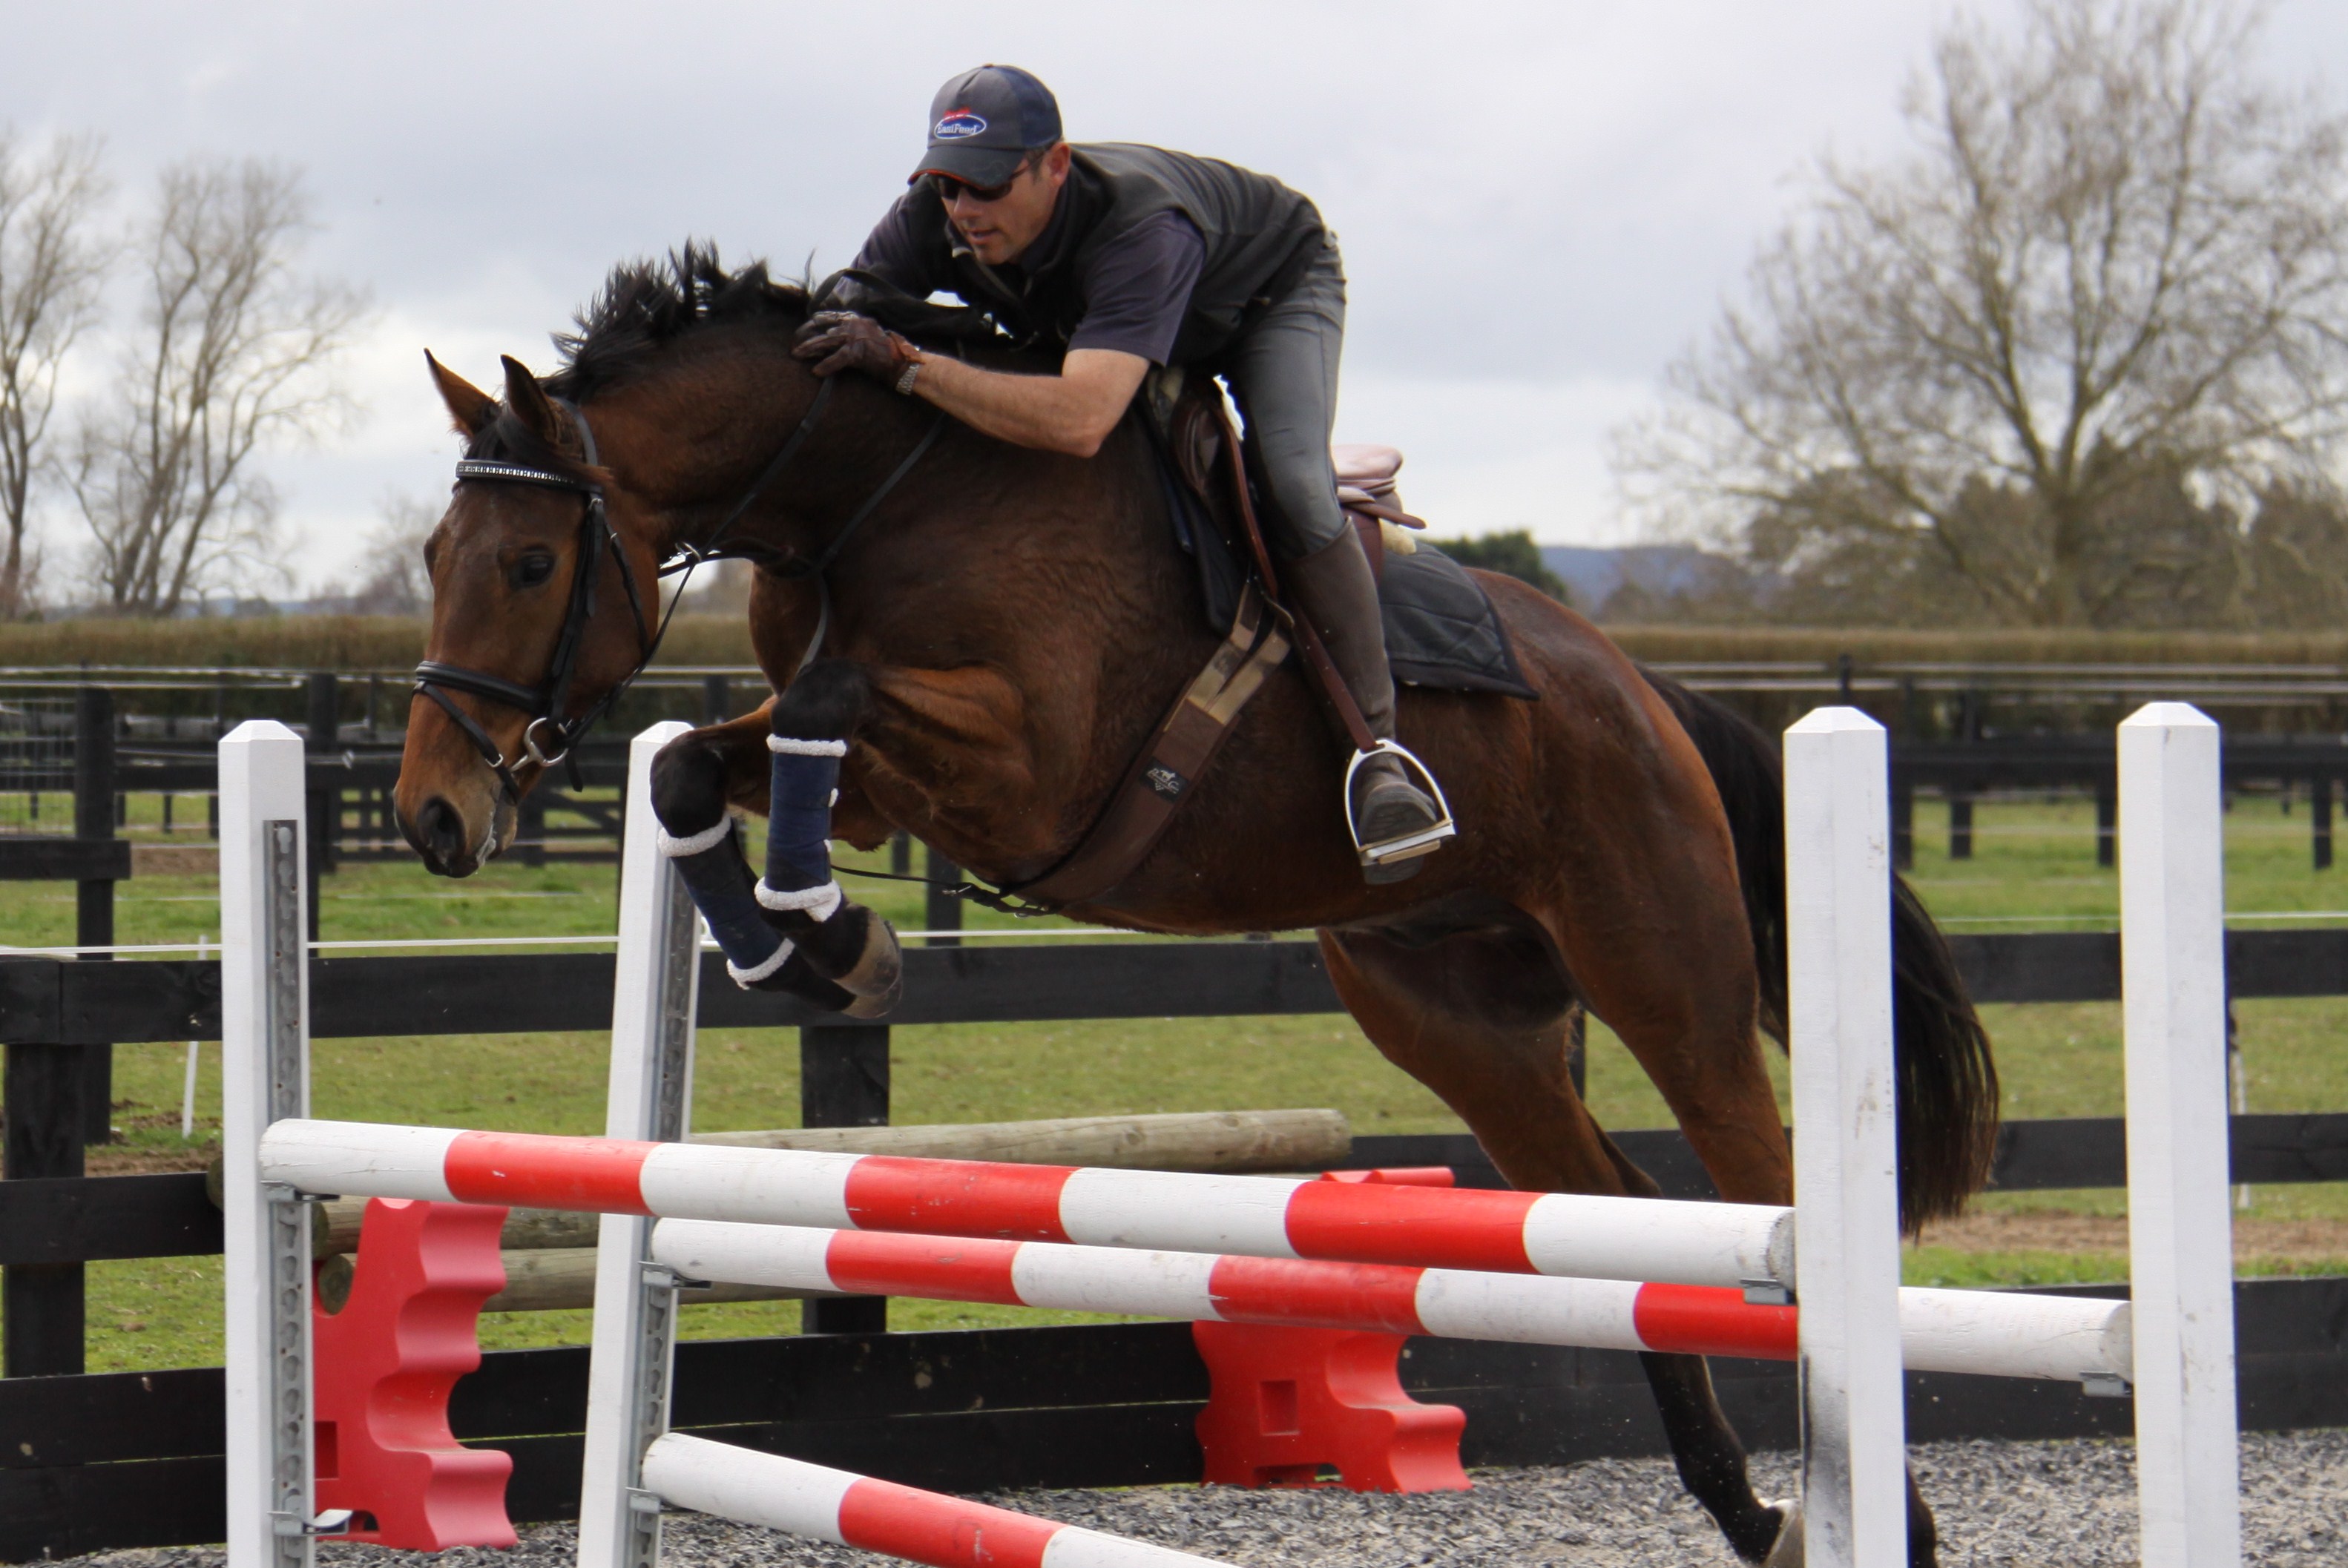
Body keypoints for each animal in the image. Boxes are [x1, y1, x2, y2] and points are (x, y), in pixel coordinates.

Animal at [399, 247, 2000, 1568]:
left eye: (531, 562)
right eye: (431, 558)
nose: (433, 813)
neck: (874, 494)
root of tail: (1650, 691)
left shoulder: (1028, 767)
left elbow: (825, 700)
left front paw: (831, 937)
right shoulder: (872, 783)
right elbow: (694, 766)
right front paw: (809, 945)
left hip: (1662, 972)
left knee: (1766, 1192)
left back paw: (1887, 1517)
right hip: (1454, 1019)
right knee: (1620, 1217)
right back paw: (1744, 1505)